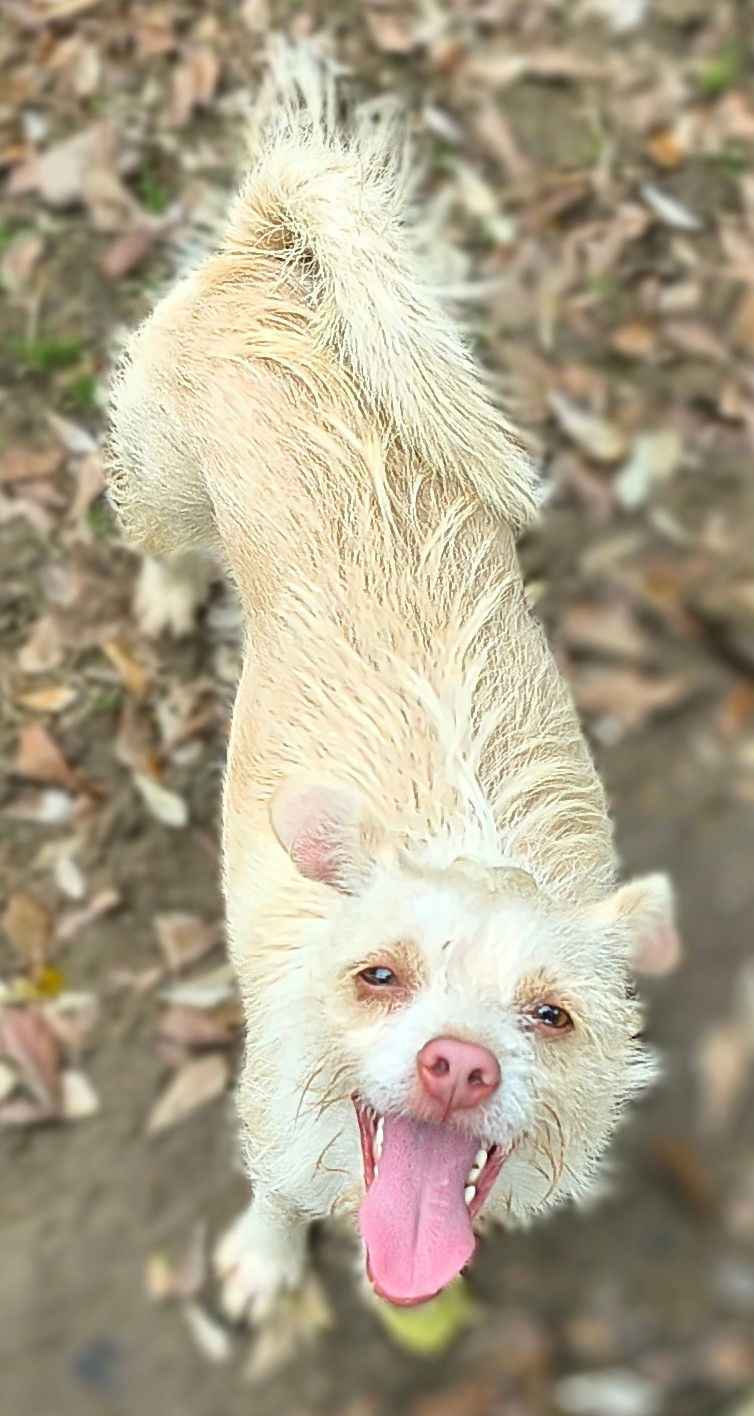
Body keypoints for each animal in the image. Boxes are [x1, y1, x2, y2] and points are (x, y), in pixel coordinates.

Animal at [109, 49, 680, 1319]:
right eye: (379, 975)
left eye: (552, 1015)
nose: (458, 1065)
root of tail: (277, 244)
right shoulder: (277, 1129)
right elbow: (276, 1195)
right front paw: (267, 1263)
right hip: (163, 480)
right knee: (154, 539)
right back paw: (165, 596)